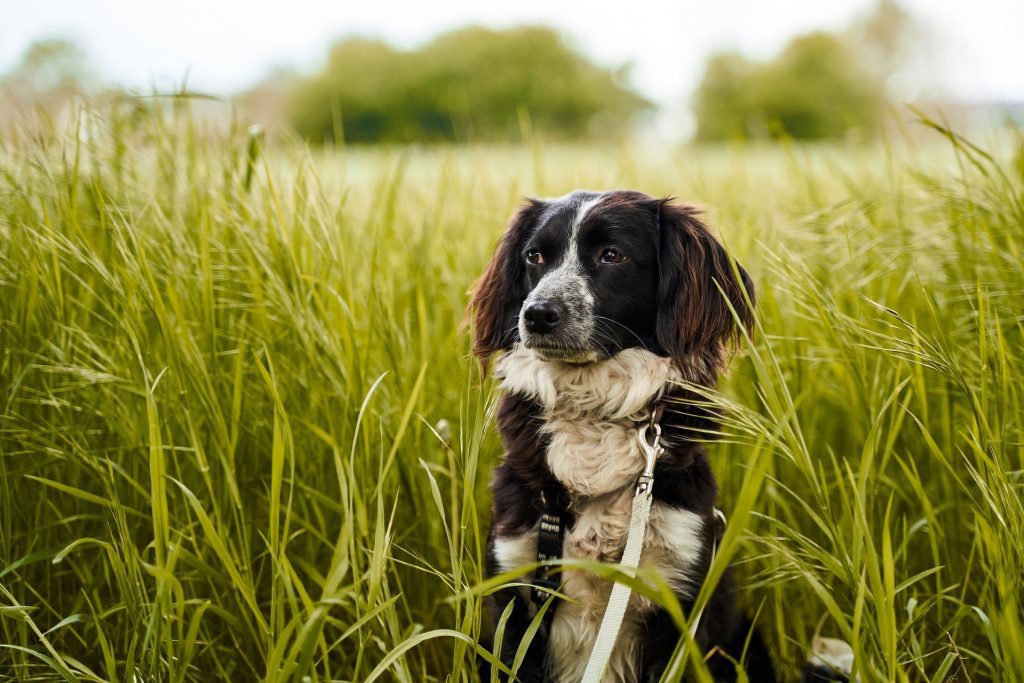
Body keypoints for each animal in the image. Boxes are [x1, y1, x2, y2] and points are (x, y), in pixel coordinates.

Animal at [468, 191, 851, 683]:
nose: (536, 315)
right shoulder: (516, 592)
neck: (592, 412)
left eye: (612, 255)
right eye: (534, 256)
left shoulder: (678, 599)